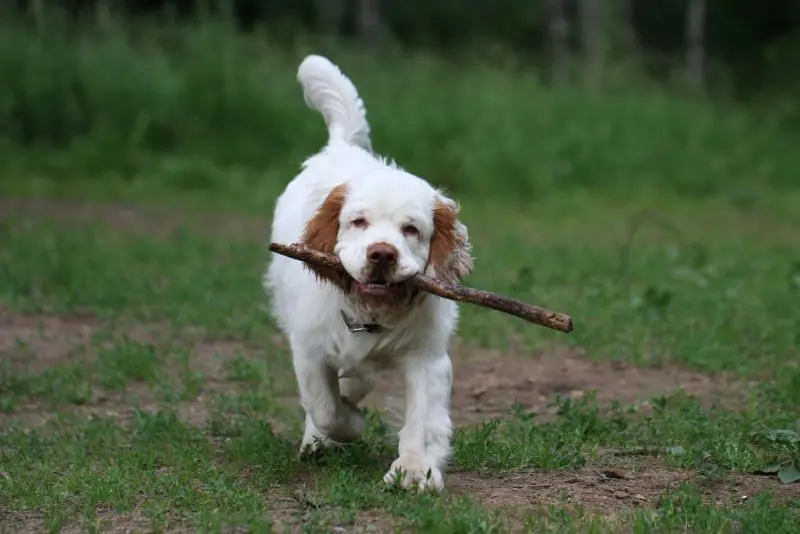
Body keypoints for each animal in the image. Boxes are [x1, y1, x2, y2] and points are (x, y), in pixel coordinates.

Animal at [262, 55, 476, 494]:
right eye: (358, 222)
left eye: (411, 230)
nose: (382, 254)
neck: (371, 313)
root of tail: (340, 146)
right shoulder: (308, 348)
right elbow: (326, 407)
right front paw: (344, 426)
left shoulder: (427, 356)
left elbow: (421, 419)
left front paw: (414, 470)